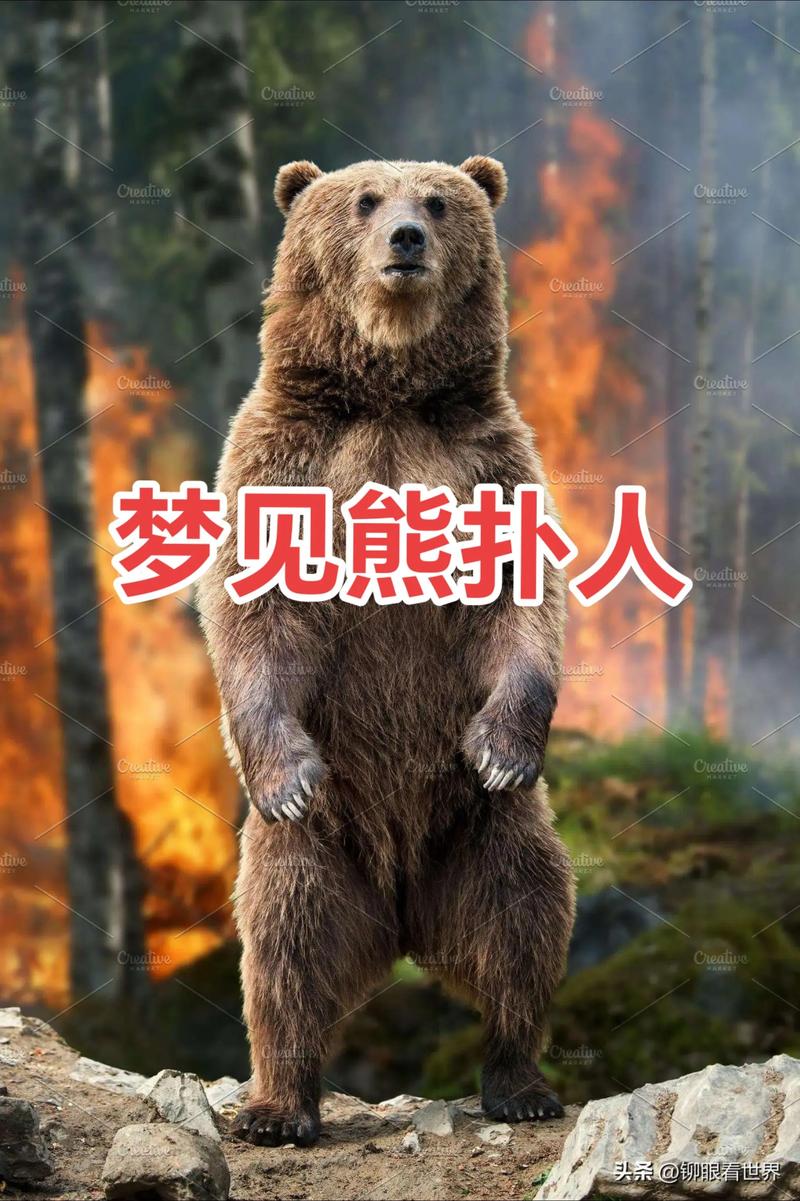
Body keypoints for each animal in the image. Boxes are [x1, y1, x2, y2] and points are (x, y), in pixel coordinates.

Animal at [197, 155, 576, 1147]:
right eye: (365, 200)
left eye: (438, 202)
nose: (405, 238)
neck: (389, 393)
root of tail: (403, 917)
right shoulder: (289, 459)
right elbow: (256, 608)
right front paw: (287, 769)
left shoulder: (484, 460)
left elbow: (521, 602)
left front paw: (502, 744)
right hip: (316, 849)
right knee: (283, 948)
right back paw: (277, 1106)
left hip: (487, 832)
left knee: (525, 920)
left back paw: (521, 1081)